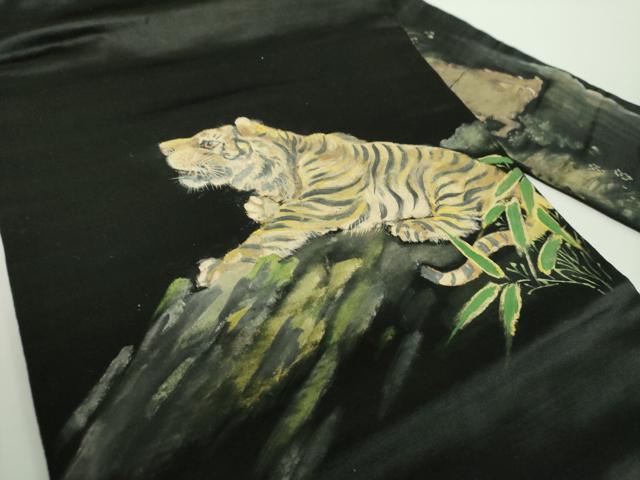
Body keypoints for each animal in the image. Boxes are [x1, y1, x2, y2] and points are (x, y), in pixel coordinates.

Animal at [159, 117, 547, 288]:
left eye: (206, 143)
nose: (162, 147)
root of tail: (503, 174)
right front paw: (258, 206)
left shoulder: (315, 207)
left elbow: (266, 237)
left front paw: (215, 269)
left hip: (445, 183)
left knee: (462, 221)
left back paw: (410, 228)